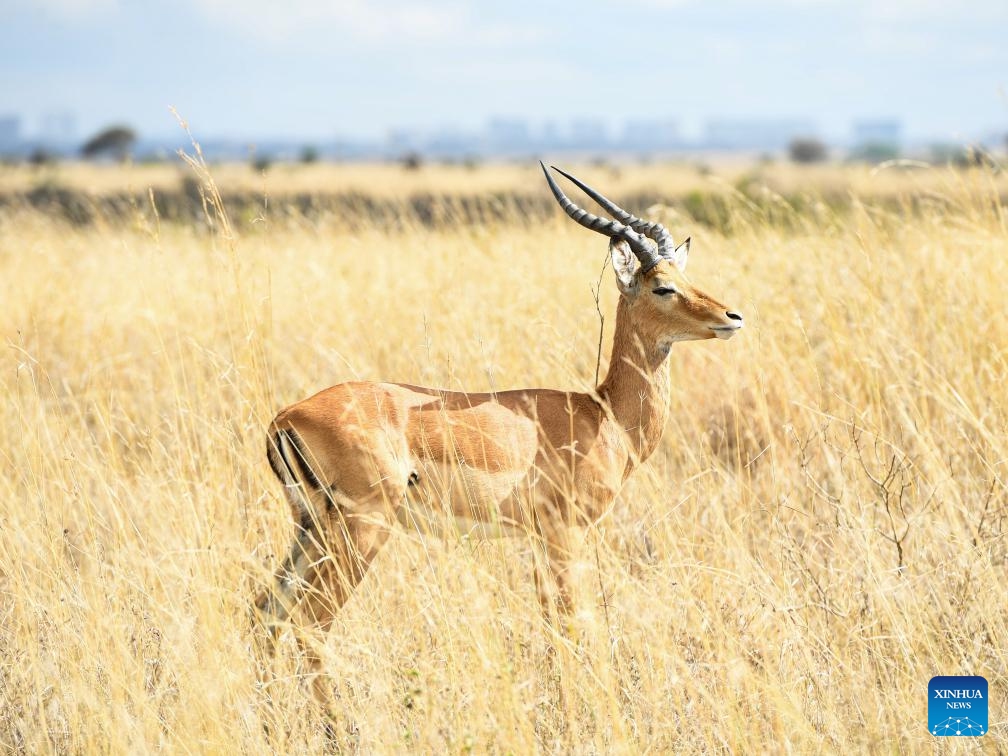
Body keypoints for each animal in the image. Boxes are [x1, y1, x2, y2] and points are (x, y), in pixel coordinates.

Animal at [254, 163, 743, 693]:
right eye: (663, 287)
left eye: (685, 275)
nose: (732, 317)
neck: (604, 415)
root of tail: (285, 417)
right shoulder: (565, 533)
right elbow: (576, 625)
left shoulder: (539, 538)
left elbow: (553, 625)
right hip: (361, 529)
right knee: (311, 621)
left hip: (310, 528)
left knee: (267, 610)